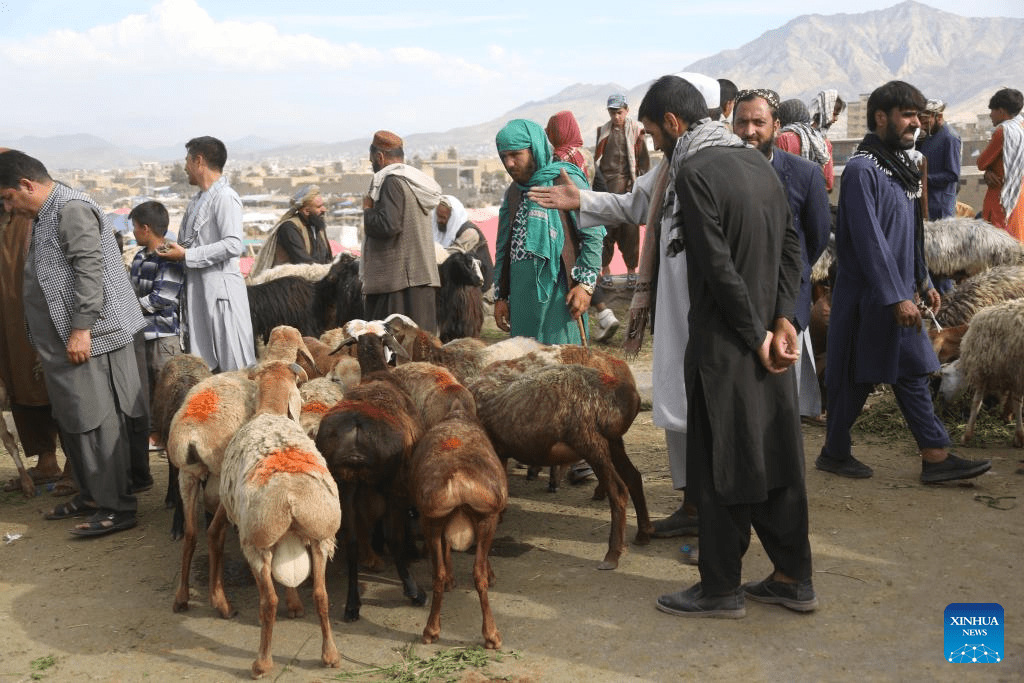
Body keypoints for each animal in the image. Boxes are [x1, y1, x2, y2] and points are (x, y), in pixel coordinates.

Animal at [210, 360, 339, 679]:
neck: (271, 411)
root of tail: (290, 496)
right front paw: (295, 606)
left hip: (256, 543)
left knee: (268, 601)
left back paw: (262, 663)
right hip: (322, 536)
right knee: (321, 595)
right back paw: (330, 655)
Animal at [405, 409, 505, 651]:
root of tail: (458, 480)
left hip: (431, 519)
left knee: (439, 573)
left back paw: (431, 630)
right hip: (487, 516)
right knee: (478, 574)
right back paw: (492, 635)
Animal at [468, 362, 651, 573]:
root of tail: (628, 397)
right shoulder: (500, 452)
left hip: (590, 442)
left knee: (619, 490)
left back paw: (612, 556)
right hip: (613, 442)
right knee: (634, 478)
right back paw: (644, 534)